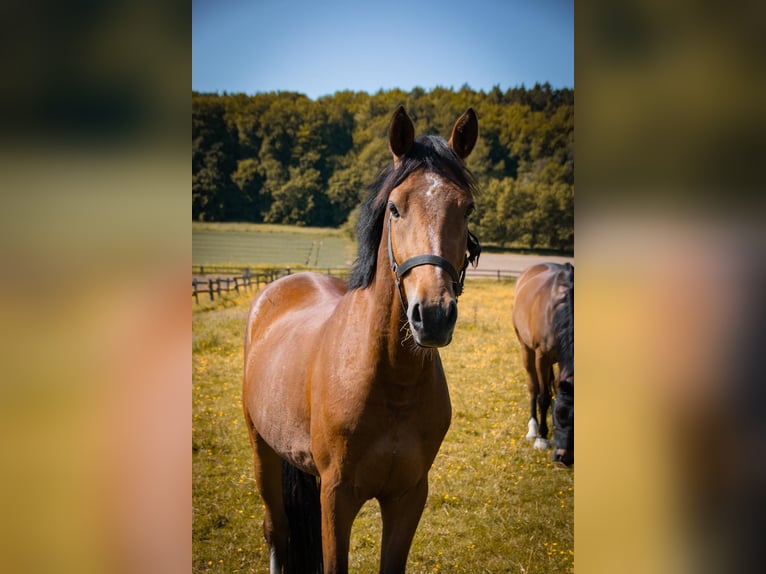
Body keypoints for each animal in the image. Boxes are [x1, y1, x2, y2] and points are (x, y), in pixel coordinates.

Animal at [243, 106, 481, 574]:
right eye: (395, 208)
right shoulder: (336, 497)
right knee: (276, 530)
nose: (433, 315)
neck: (391, 381)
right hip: (262, 450)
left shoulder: (409, 497)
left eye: (467, 208)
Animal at [511, 262, 574, 466]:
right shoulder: (541, 357)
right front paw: (542, 438)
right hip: (526, 350)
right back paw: (533, 428)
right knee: (534, 387)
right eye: (560, 415)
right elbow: (544, 396)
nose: (564, 458)